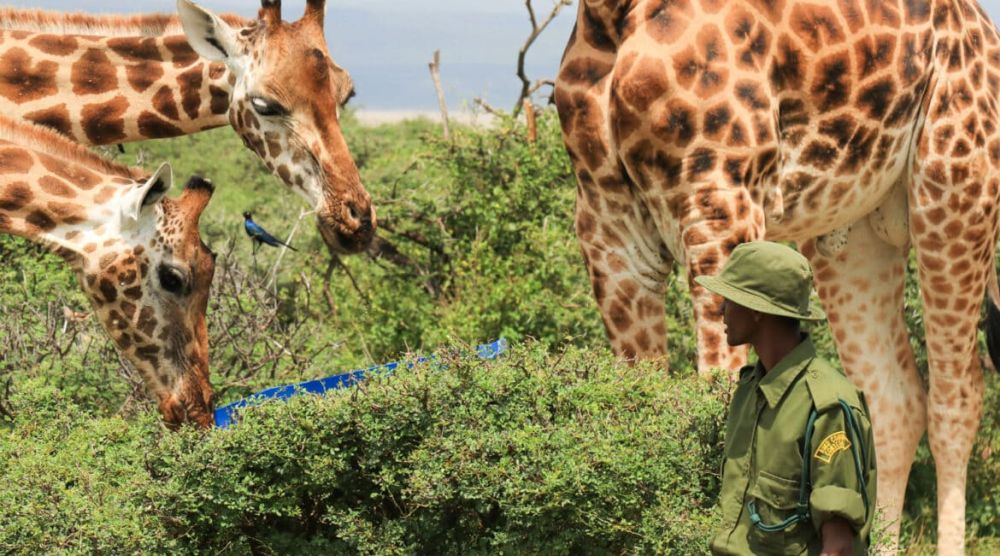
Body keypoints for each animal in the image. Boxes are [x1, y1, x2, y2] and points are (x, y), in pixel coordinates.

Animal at [560, 0, 1000, 552]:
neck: (612, 16)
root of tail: (987, 35)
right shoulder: (609, 230)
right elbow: (638, 411)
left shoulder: (720, 201)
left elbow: (716, 403)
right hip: (854, 235)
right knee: (893, 403)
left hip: (954, 191)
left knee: (957, 399)